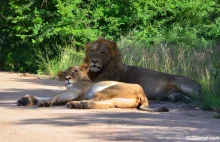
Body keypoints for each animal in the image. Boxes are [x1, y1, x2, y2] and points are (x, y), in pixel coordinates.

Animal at [17, 63, 168, 112]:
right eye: (65, 73)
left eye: (75, 71)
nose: (67, 78)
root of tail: (144, 95)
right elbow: (46, 95)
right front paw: (25, 99)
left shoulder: (72, 92)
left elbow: (54, 95)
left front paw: (44, 102)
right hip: (116, 101)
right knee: (103, 104)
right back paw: (79, 105)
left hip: (108, 89)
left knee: (94, 99)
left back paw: (77, 104)